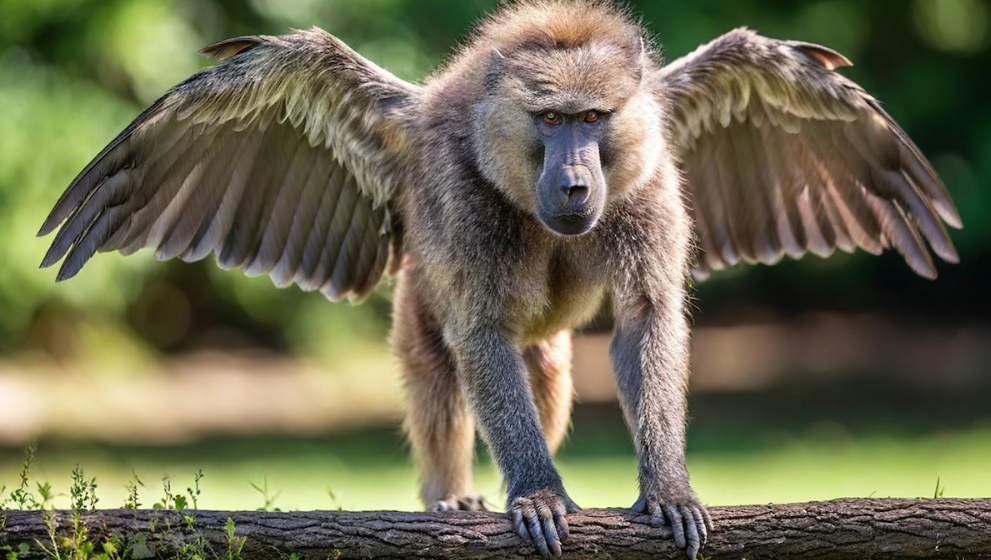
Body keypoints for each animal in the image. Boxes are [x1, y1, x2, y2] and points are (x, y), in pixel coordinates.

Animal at [37, 1, 961, 558]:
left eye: (593, 120)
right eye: (549, 120)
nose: (577, 186)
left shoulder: (647, 182)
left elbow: (646, 319)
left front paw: (665, 486)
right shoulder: (454, 190)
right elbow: (478, 333)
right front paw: (538, 496)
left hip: (545, 345)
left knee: (544, 374)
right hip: (417, 308)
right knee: (445, 378)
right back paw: (449, 499)